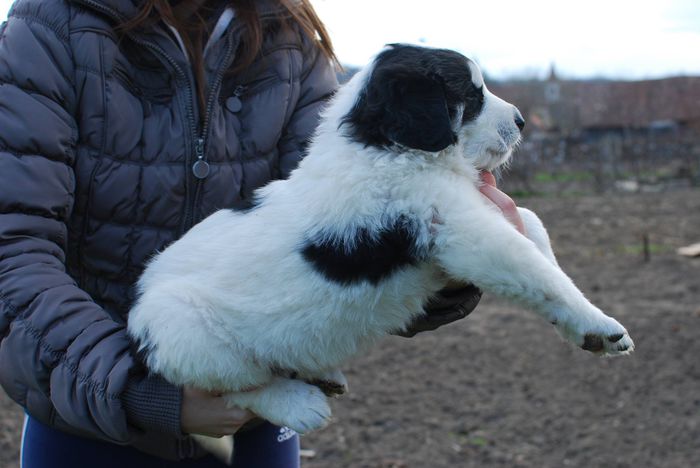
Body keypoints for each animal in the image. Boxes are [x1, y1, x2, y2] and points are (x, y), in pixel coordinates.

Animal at [127, 43, 636, 436]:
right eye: (470, 95)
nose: (523, 121)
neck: (387, 147)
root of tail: (137, 310)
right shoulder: (463, 232)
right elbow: (537, 271)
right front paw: (600, 325)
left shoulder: (470, 211)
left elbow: (532, 225)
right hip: (189, 334)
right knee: (237, 387)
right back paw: (299, 403)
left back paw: (322, 372)